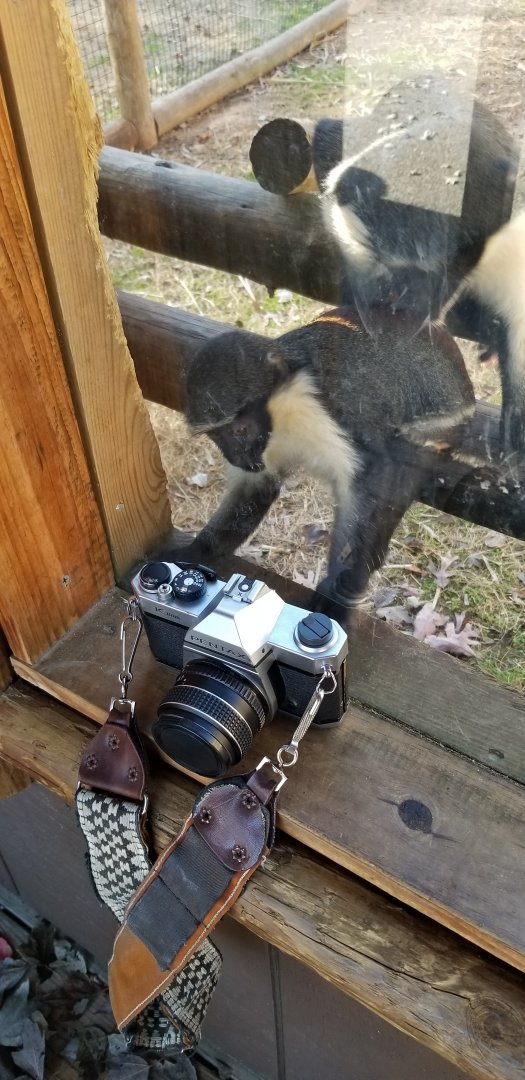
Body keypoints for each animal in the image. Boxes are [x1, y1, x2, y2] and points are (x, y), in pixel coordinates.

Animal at [160, 308, 475, 617]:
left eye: (240, 430)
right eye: (217, 436)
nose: (236, 457)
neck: (282, 408)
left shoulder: (328, 410)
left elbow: (373, 475)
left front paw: (337, 591)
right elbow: (255, 488)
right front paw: (196, 553)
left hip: (438, 430)